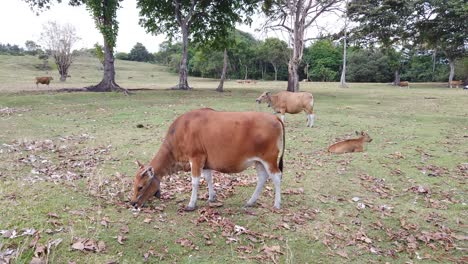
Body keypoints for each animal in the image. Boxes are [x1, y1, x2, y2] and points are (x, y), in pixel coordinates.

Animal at [131, 108, 286, 211]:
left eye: (141, 187)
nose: (132, 203)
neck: (181, 131)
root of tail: (275, 118)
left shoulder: (196, 157)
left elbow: (195, 182)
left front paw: (191, 204)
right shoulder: (205, 163)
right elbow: (208, 178)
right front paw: (211, 197)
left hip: (269, 159)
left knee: (276, 176)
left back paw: (277, 204)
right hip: (258, 161)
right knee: (262, 177)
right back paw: (251, 201)